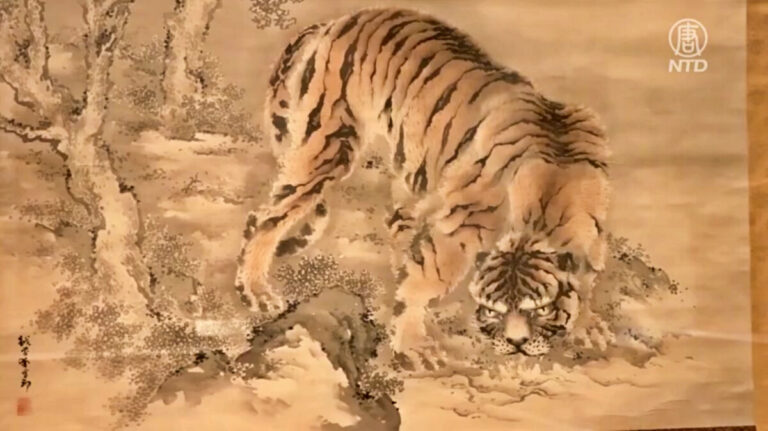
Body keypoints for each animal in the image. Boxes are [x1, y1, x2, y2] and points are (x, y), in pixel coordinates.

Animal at [236, 8, 610, 360]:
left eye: (540, 309)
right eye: (494, 308)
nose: (515, 344)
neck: (552, 195)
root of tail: (334, 22)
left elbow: (588, 281)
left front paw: (588, 326)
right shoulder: (461, 225)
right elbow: (427, 278)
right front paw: (414, 345)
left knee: (396, 227)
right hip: (329, 144)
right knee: (265, 218)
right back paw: (256, 292)